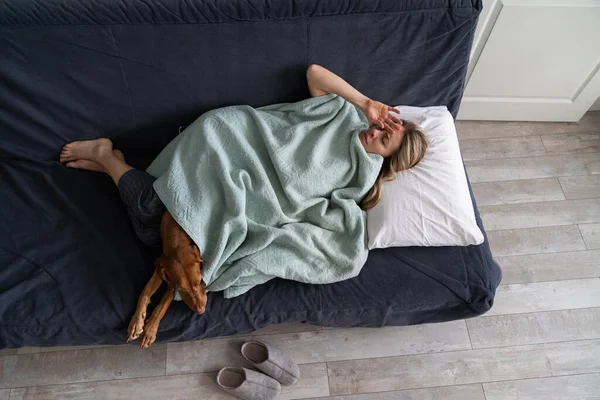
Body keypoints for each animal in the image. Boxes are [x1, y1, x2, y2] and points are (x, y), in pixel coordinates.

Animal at [126, 212, 206, 346]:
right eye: (181, 289)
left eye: (200, 281)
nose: (201, 311)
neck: (177, 235)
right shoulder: (163, 271)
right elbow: (144, 293)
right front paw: (137, 323)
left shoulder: (170, 284)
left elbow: (162, 307)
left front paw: (149, 330)